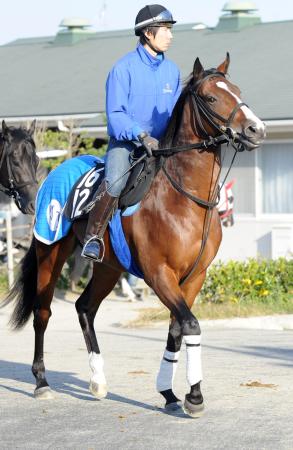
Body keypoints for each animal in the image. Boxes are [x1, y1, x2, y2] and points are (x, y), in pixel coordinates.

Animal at [4, 54, 264, 416]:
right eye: (212, 98)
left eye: (238, 91)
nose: (256, 129)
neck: (183, 199)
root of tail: (48, 179)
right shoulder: (158, 274)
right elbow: (190, 325)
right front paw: (194, 396)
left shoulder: (194, 276)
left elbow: (176, 328)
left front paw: (169, 392)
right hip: (51, 255)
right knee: (43, 313)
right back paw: (42, 382)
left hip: (107, 266)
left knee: (85, 307)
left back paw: (98, 381)